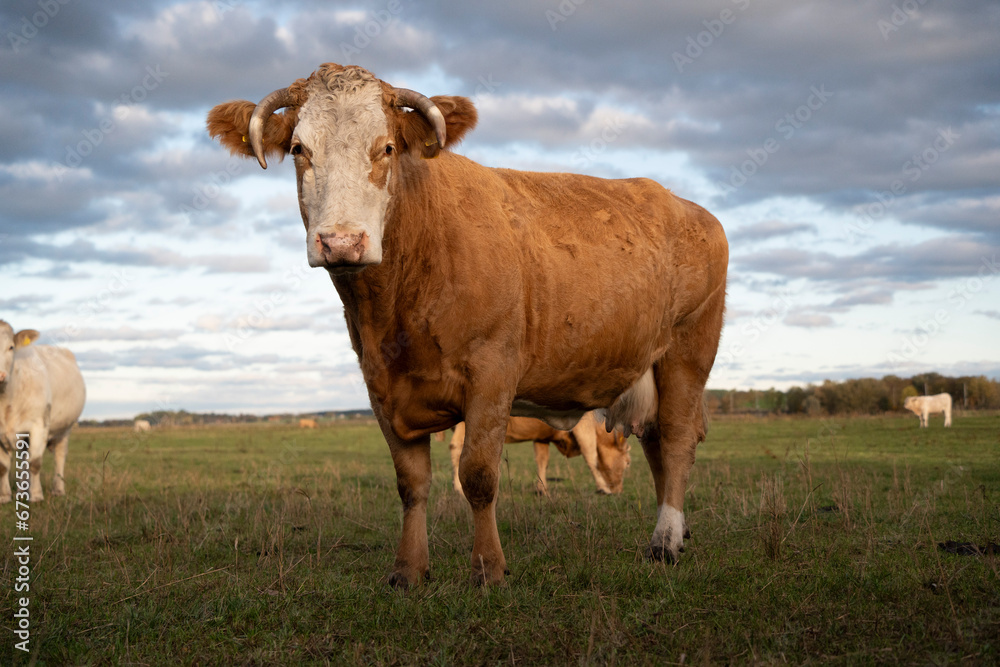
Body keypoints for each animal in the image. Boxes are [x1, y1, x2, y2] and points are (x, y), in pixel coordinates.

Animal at [0, 322, 87, 500]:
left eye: (11, 347)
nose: (0, 375)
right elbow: (3, 466)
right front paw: (4, 497)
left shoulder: (39, 426)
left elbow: (35, 463)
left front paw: (37, 495)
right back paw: (21, 491)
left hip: (65, 429)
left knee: (59, 456)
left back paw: (58, 489)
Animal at [209, 61, 728, 584]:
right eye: (299, 149)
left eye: (387, 148)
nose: (341, 242)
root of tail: (683, 205)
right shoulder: (381, 386)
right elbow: (412, 483)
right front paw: (409, 570)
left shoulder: (493, 374)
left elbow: (478, 475)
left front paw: (488, 568)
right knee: (657, 440)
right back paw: (677, 531)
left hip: (687, 353)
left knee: (677, 439)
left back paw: (665, 540)